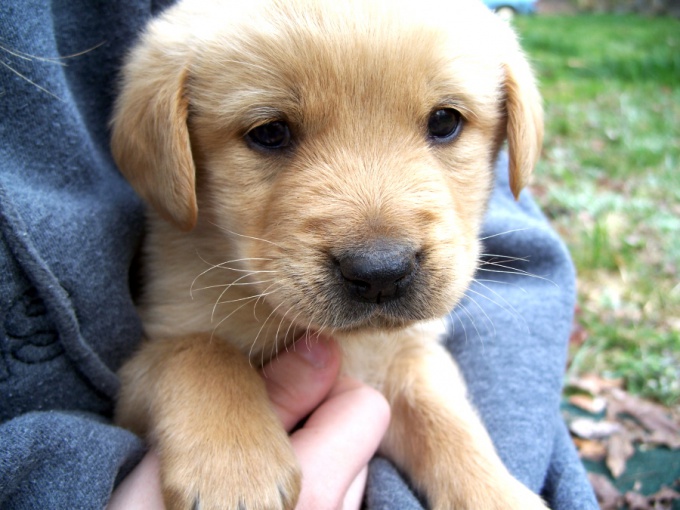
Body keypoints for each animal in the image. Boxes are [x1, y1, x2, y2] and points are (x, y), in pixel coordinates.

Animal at [111, 0, 548, 510]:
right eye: (270, 132)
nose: (381, 273)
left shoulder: (405, 355)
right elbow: (200, 350)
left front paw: (497, 492)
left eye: (444, 121)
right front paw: (236, 470)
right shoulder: (141, 362)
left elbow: (445, 419)